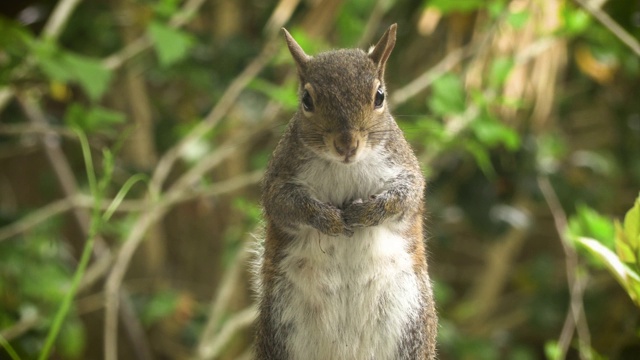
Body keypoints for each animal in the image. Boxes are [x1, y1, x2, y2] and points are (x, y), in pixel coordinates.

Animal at [252, 23, 438, 358]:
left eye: (379, 96)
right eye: (306, 100)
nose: (346, 144)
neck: (345, 166)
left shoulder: (404, 169)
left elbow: (404, 197)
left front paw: (365, 213)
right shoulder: (279, 179)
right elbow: (286, 205)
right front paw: (329, 220)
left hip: (412, 330)